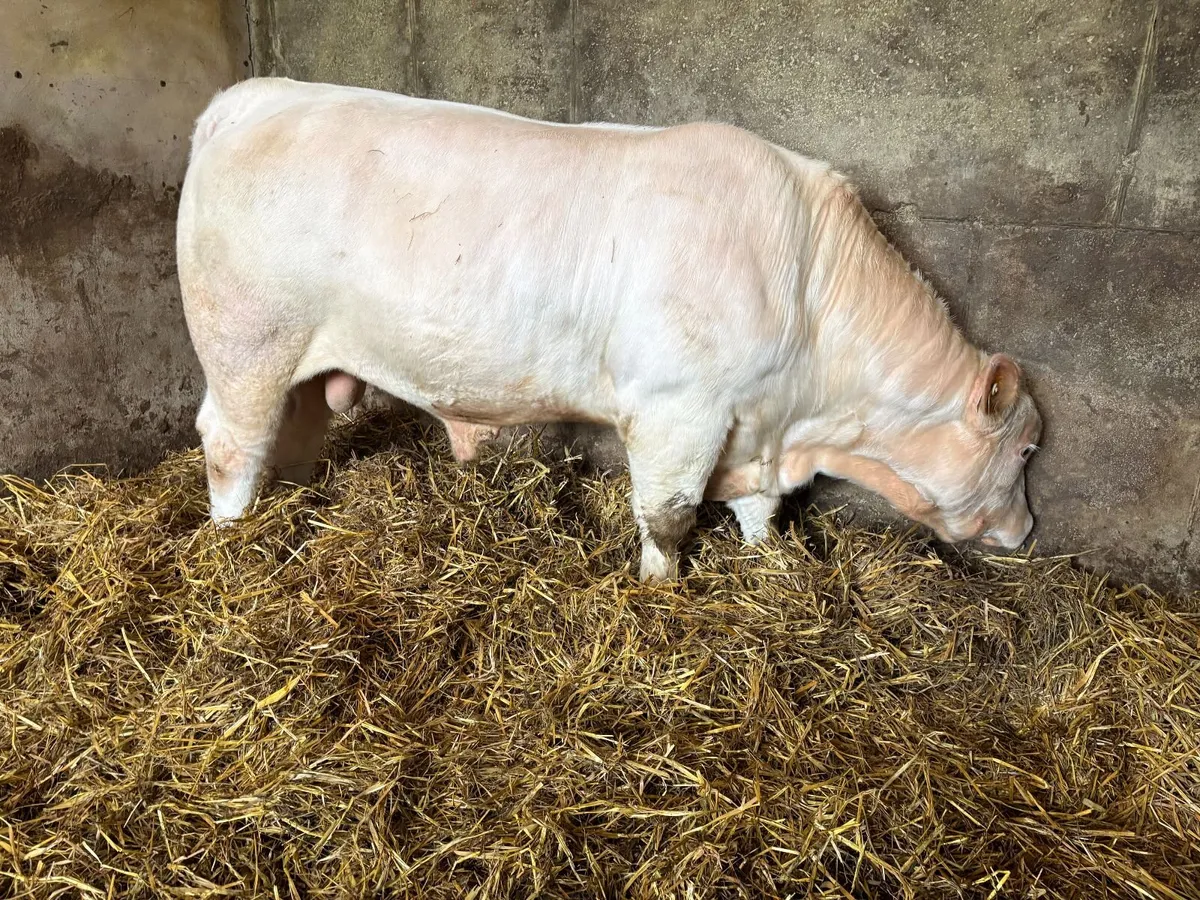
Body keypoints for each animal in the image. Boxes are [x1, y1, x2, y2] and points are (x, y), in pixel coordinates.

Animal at [177, 77, 1042, 582]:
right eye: (1027, 451)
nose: (1027, 529)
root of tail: (252, 97)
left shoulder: (755, 426)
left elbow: (760, 510)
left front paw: (768, 563)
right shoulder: (677, 408)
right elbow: (669, 514)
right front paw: (663, 589)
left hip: (298, 358)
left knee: (290, 434)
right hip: (246, 341)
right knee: (230, 442)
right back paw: (233, 534)